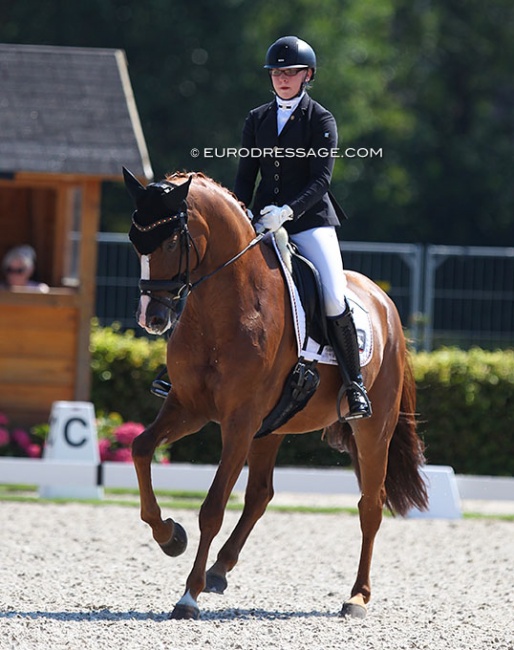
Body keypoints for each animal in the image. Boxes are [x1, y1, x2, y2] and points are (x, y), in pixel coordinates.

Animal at [122, 167, 426, 616]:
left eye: (173, 240)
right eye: (133, 241)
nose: (152, 318)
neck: (224, 308)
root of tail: (383, 301)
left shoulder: (240, 420)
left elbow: (212, 507)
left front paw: (188, 595)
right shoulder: (188, 407)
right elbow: (141, 449)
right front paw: (170, 537)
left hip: (373, 430)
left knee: (370, 505)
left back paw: (357, 597)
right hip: (273, 427)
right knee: (260, 495)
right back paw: (219, 570)